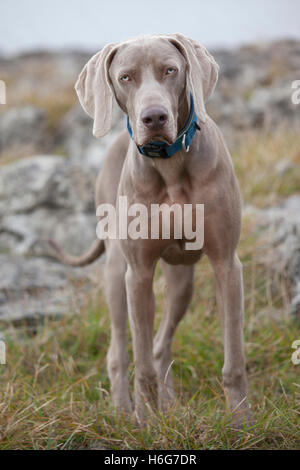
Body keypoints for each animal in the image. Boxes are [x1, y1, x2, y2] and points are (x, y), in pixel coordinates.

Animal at [50, 33, 252, 428]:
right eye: (125, 77)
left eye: (170, 70)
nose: (154, 117)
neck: (171, 163)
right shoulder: (139, 273)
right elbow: (140, 361)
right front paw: (145, 423)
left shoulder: (227, 264)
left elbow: (233, 357)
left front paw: (241, 421)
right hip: (117, 275)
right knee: (120, 351)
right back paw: (124, 410)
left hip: (182, 281)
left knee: (161, 345)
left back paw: (168, 405)